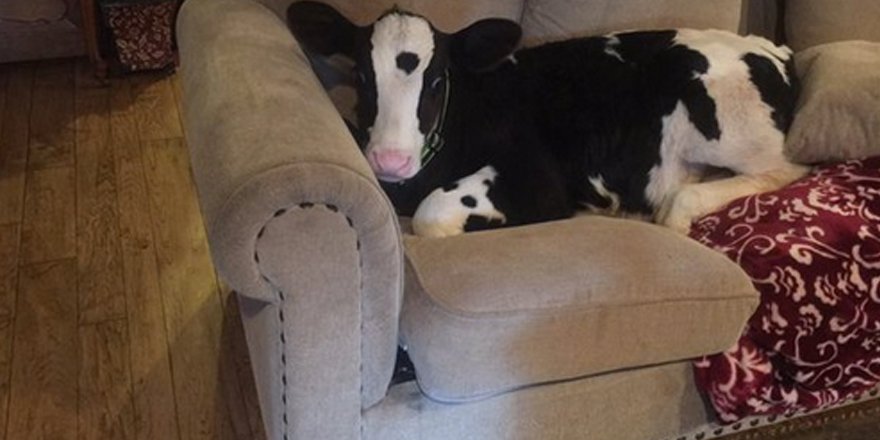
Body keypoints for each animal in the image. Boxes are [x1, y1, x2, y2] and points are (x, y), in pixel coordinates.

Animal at [287, 2, 808, 238]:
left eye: (437, 79)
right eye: (361, 73)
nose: (389, 160)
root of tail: (773, 47)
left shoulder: (540, 181)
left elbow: (433, 214)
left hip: (723, 124)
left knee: (785, 169)